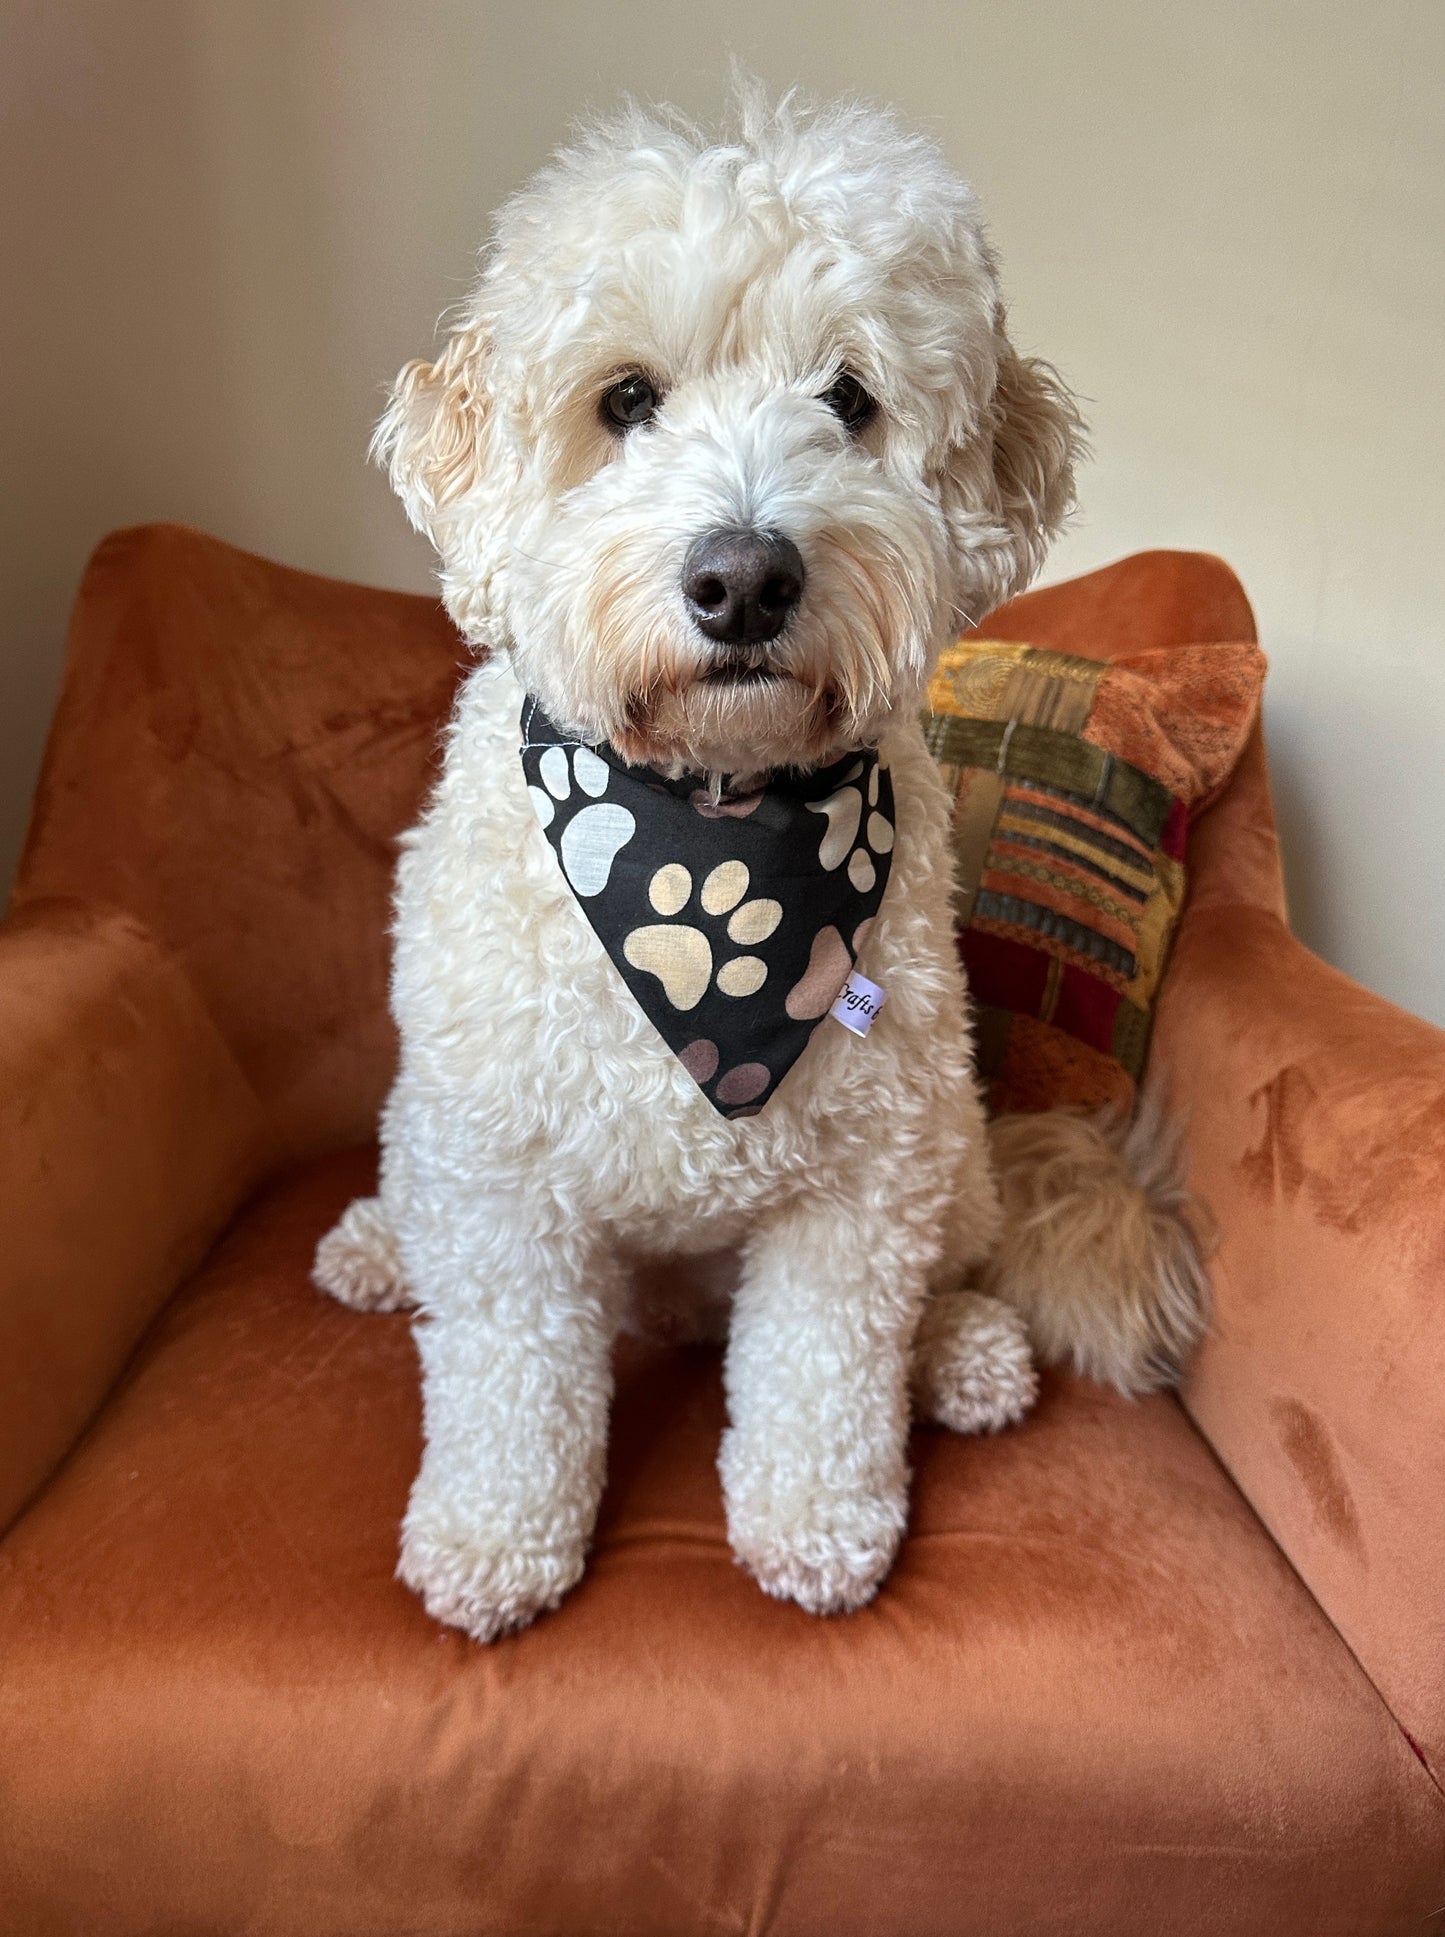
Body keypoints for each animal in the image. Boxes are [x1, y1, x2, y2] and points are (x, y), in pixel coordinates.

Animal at [306, 87, 1193, 1634]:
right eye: (624, 401)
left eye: (848, 399)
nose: (743, 578)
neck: (705, 835)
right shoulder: (502, 1173)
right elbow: (506, 1378)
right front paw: (493, 1538)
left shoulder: (862, 1178)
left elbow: (824, 1373)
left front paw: (817, 1526)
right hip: (439, 1131)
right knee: (424, 1208)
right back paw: (376, 1246)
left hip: (951, 1142)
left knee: (949, 1265)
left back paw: (964, 1354)